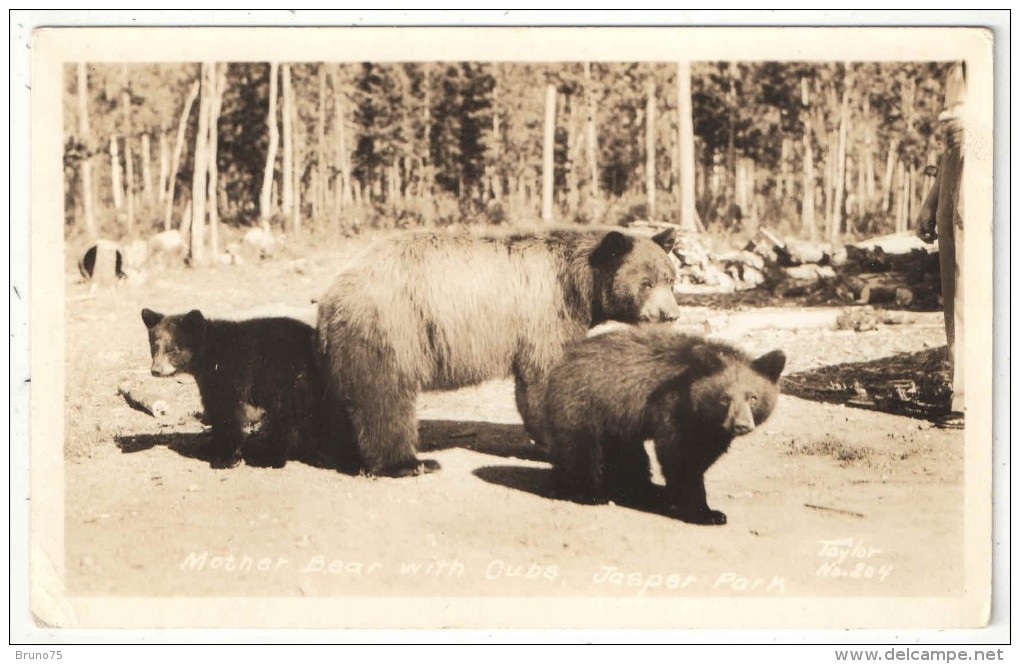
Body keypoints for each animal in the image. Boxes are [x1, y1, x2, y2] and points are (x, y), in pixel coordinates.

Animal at [316, 227, 685, 477]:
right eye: (646, 283)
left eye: (670, 279)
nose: (670, 314)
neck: (576, 284)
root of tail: (334, 293)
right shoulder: (546, 312)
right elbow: (545, 377)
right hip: (394, 327)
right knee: (383, 397)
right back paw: (408, 463)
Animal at [542, 324, 787, 526]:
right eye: (724, 398)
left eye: (752, 398)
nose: (741, 425)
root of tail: (564, 359)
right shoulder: (672, 409)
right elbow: (680, 457)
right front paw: (706, 513)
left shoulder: (708, 429)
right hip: (586, 402)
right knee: (579, 448)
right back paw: (587, 493)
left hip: (618, 421)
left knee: (628, 456)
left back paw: (642, 490)